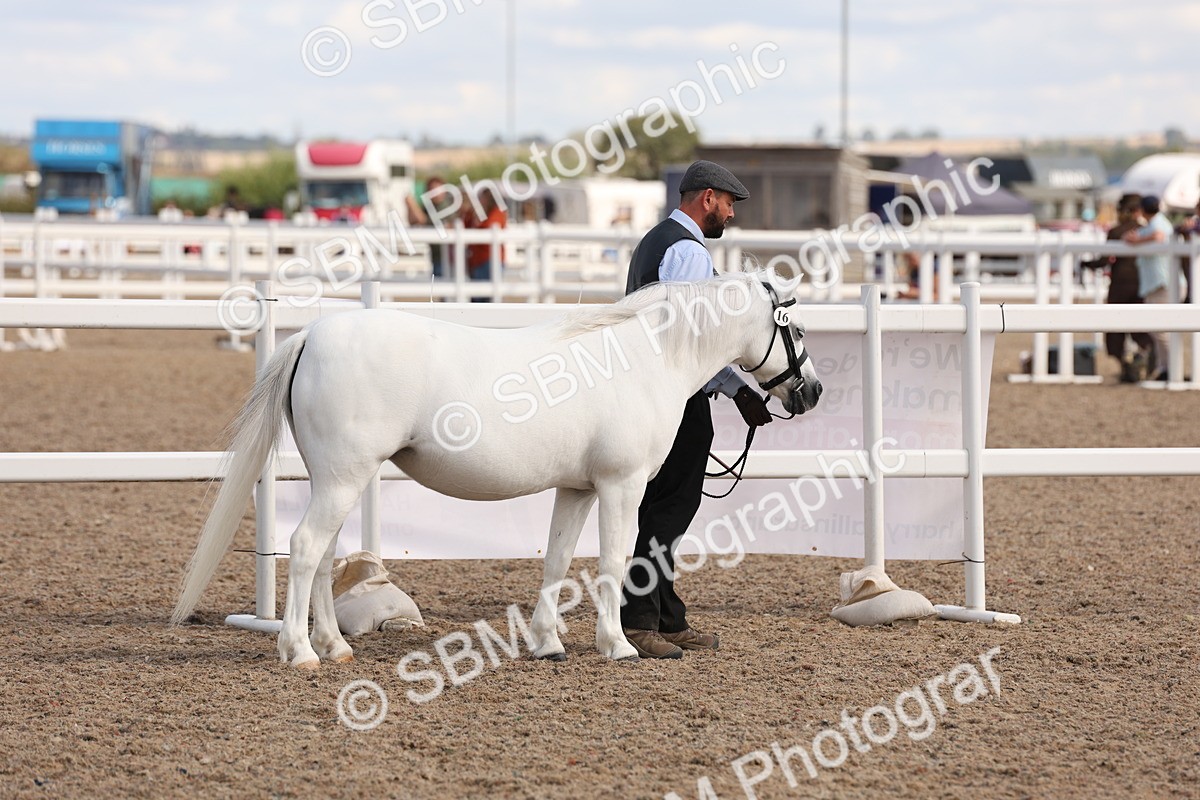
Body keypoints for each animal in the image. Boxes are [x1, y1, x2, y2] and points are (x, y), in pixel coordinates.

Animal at [171, 271, 822, 668]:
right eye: (793, 326)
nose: (812, 391)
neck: (647, 356)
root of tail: (311, 333)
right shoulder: (621, 486)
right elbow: (614, 563)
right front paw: (617, 645)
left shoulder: (577, 489)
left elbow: (557, 560)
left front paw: (547, 643)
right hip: (343, 478)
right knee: (306, 548)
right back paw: (301, 651)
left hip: (337, 480)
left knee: (324, 554)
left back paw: (332, 646)